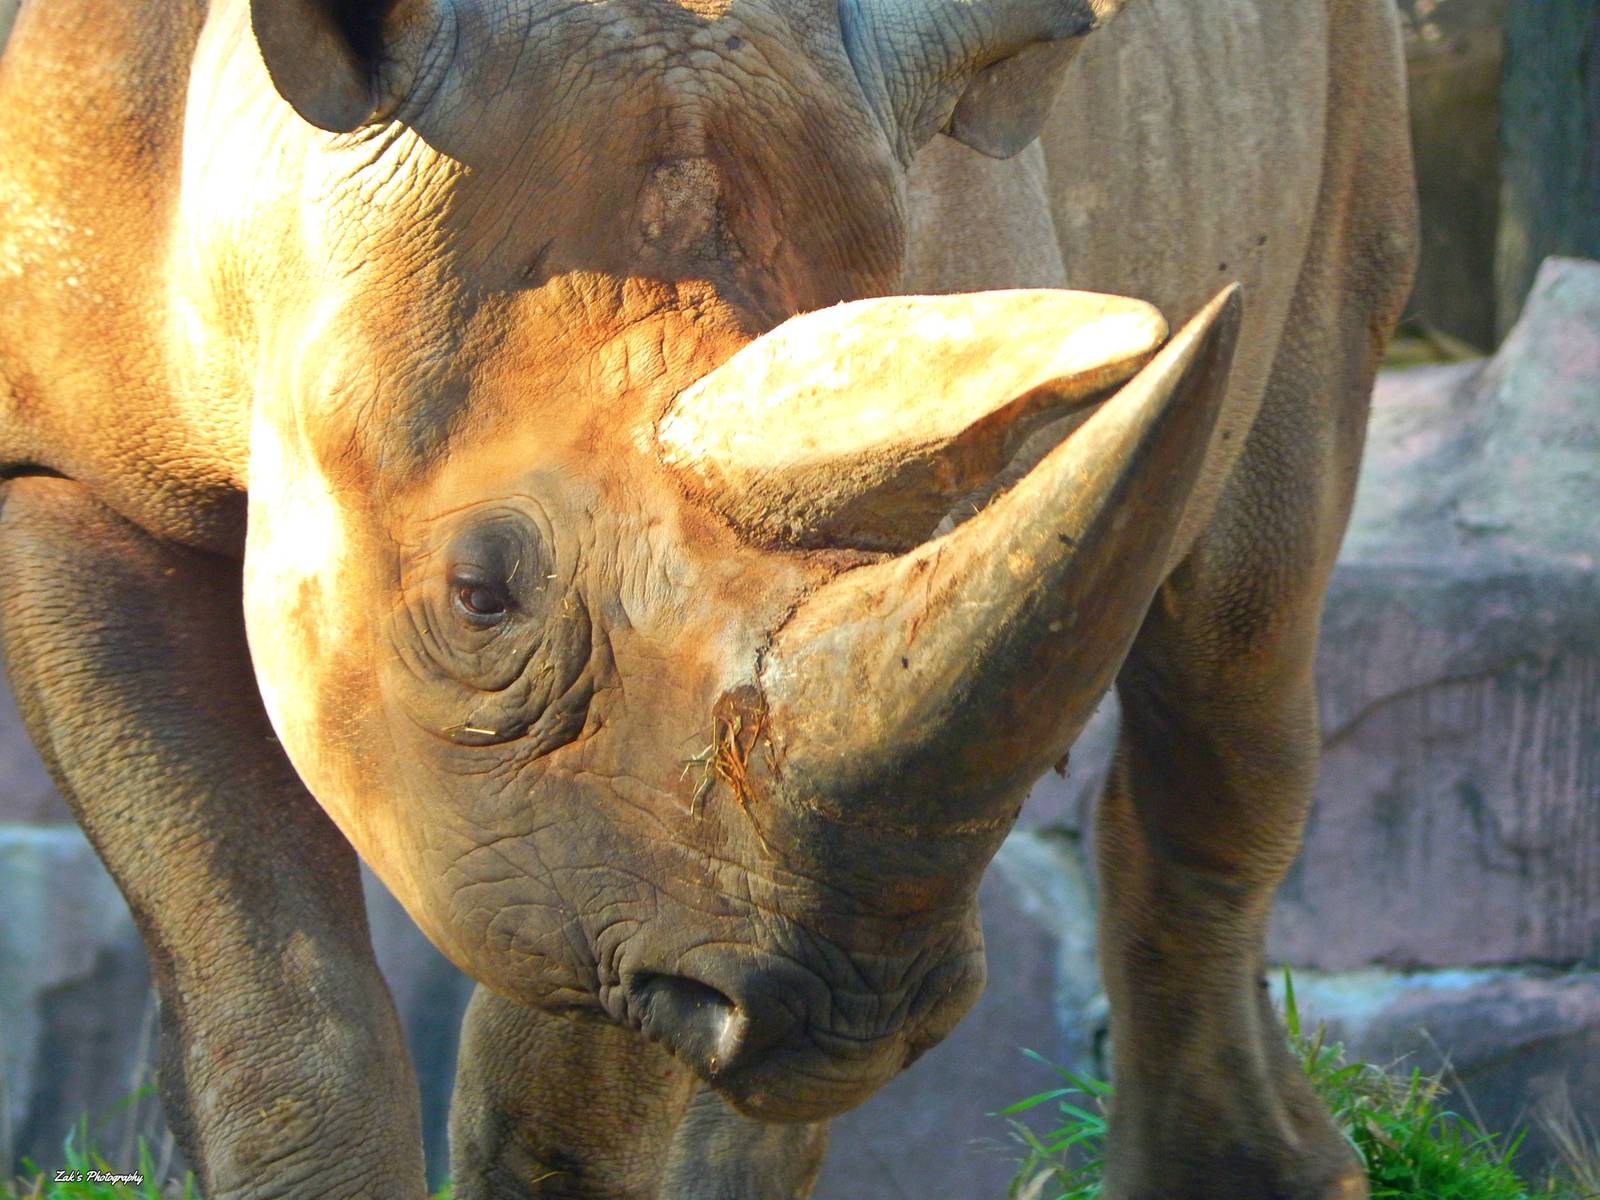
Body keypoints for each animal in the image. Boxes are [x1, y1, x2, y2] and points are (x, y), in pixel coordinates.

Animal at [0, 0, 1416, 1196]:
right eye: (478, 595)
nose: (851, 1010)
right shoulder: (61, 472)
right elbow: (273, 986)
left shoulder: (633, 839)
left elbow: (577, 1051)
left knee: (1241, 632)